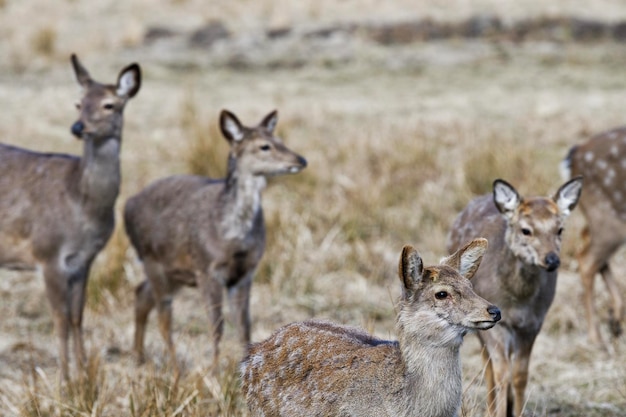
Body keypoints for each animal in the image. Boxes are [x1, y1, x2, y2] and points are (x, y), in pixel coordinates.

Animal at [0, 53, 139, 378]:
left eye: (109, 104)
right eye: (79, 102)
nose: (78, 127)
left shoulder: (84, 260)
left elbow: (77, 316)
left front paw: (85, 372)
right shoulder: (47, 253)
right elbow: (60, 318)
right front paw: (64, 378)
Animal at [123, 107, 304, 370]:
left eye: (280, 139)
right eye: (264, 146)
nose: (300, 160)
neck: (232, 237)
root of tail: (127, 206)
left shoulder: (245, 272)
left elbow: (244, 326)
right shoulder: (206, 268)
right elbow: (217, 326)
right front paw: (216, 371)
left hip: (174, 271)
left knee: (141, 294)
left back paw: (138, 357)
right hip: (152, 260)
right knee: (163, 317)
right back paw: (174, 368)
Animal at [560, 128, 624, 350]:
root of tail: (574, 155)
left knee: (586, 243)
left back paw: (614, 321)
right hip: (609, 219)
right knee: (587, 259)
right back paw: (597, 338)